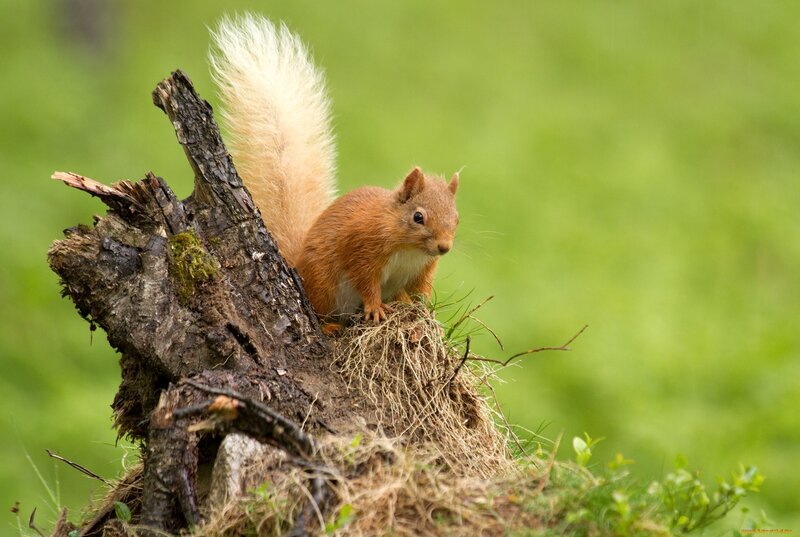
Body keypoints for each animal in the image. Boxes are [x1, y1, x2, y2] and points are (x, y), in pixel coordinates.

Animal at [210, 14, 459, 325]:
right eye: (418, 217)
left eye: (456, 218)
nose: (444, 247)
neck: (409, 249)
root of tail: (298, 263)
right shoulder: (362, 247)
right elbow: (366, 281)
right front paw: (375, 308)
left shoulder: (423, 268)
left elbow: (420, 291)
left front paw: (425, 313)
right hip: (324, 282)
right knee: (323, 310)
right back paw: (330, 327)